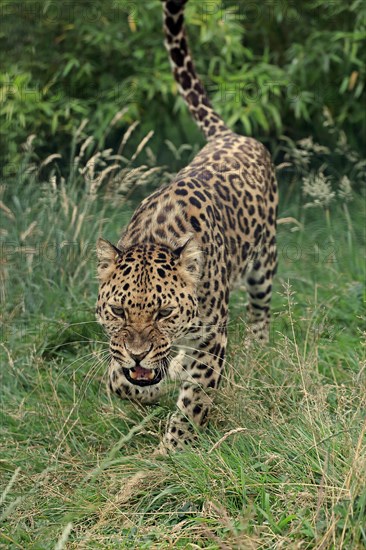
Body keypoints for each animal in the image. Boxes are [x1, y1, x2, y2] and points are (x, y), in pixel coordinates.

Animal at [96, 0, 278, 452]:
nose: (138, 353)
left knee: (261, 310)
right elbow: (119, 380)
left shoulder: (213, 339)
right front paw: (142, 383)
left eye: (163, 312)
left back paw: (259, 348)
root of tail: (230, 135)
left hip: (264, 265)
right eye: (118, 310)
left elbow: (195, 398)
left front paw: (172, 451)